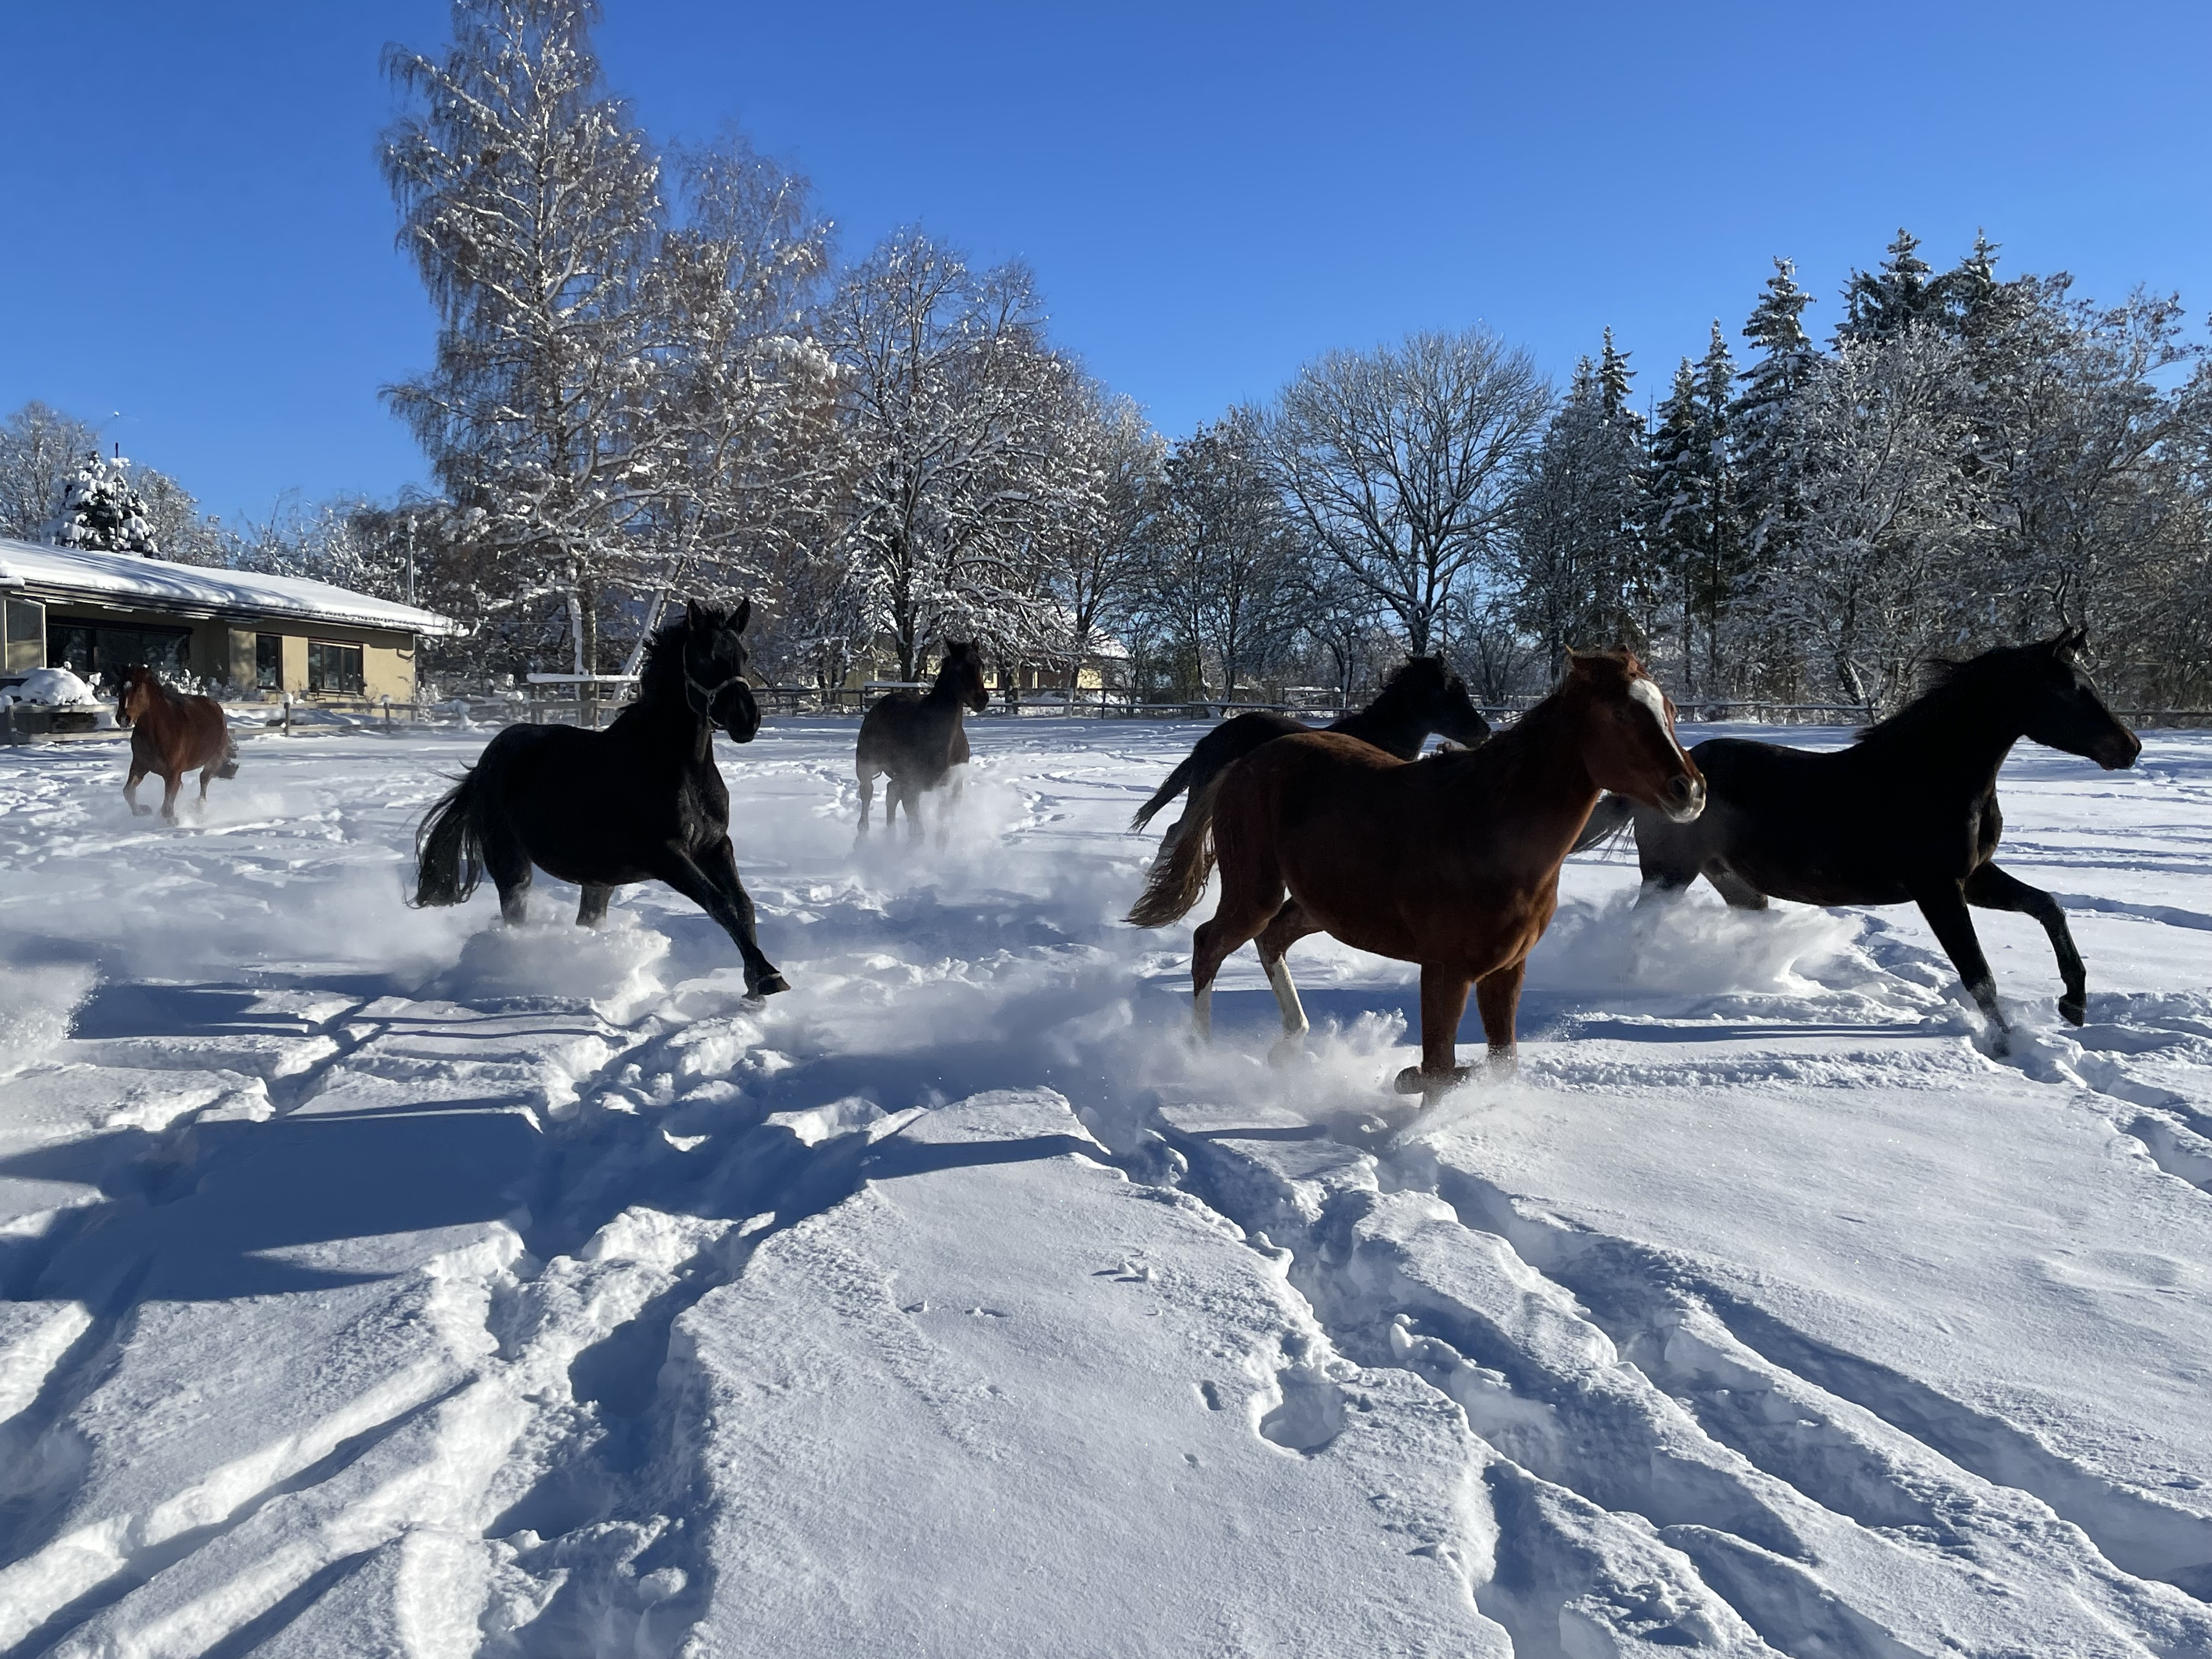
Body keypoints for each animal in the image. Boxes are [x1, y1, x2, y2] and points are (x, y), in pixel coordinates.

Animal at [117, 665, 238, 824]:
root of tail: (215, 706)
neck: (158, 733)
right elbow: (128, 792)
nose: (123, 719)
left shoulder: (173, 774)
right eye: (120, 688)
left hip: (213, 761)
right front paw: (143, 811)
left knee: (204, 782)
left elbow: (167, 809)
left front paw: (175, 821)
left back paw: (198, 810)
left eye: (137, 689)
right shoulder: (140, 766)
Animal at [411, 598, 789, 999]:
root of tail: (485, 764)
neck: (678, 766)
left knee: (586, 918)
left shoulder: (716, 845)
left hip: (598, 879)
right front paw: (766, 976)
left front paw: (757, 981)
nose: (746, 720)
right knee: (516, 914)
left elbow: (743, 904)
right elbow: (720, 904)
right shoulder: (667, 854)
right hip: (511, 863)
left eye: (743, 655)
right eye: (705, 656)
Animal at [855, 641, 991, 841]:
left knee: (891, 793)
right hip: (868, 767)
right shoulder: (912, 786)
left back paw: (890, 835)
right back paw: (863, 835)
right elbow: (918, 833)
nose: (982, 699)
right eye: (960, 668)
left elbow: (942, 832)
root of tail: (878, 705)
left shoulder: (952, 789)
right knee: (867, 793)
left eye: (981, 665)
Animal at [1569, 629, 2139, 1051]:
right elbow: (1979, 973)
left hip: (1735, 884)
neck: (1931, 776)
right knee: (1636, 932)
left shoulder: (1974, 878)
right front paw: (2006, 1046)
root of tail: (1669, 781)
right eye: (2070, 690)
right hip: (1669, 875)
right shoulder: (1939, 889)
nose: (2130, 747)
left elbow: (2049, 907)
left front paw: (2074, 1004)